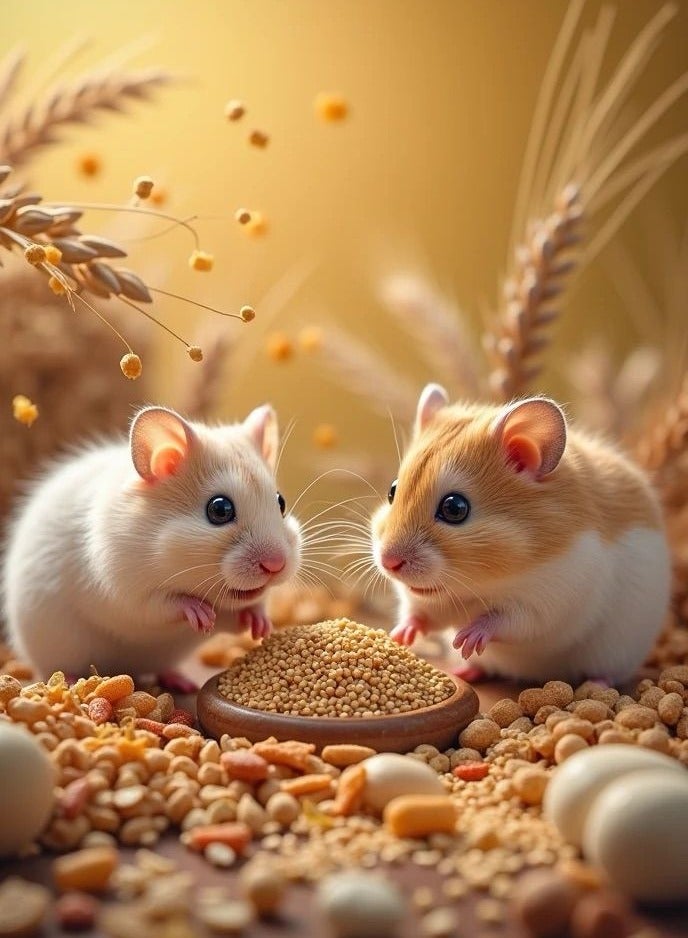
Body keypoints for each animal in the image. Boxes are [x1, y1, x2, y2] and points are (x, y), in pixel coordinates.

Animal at [2, 403, 302, 679]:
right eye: (219, 509)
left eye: (280, 502)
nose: (276, 565)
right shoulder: (125, 593)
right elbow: (164, 604)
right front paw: (201, 614)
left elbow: (245, 611)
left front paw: (262, 625)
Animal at [371, 383, 671, 685]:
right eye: (392, 490)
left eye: (455, 508)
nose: (389, 563)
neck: (480, 585)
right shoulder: (425, 602)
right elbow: (419, 614)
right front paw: (399, 635)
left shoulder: (551, 601)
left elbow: (505, 620)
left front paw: (467, 638)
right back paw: (464, 670)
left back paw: (596, 683)